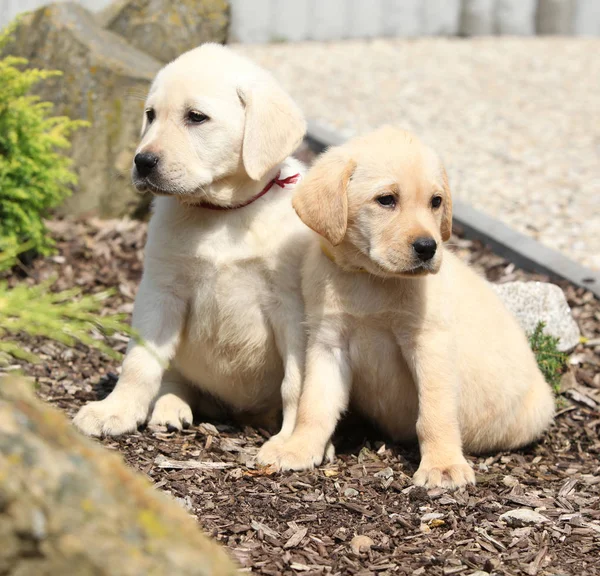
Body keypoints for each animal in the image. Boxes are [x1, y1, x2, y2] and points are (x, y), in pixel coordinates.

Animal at [71, 44, 310, 454]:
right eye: (150, 115)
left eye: (196, 117)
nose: (142, 161)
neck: (222, 212)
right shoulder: (161, 292)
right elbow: (139, 362)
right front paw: (115, 410)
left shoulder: (292, 307)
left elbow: (295, 382)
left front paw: (293, 442)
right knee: (175, 378)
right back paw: (171, 407)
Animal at [260, 125, 556, 486]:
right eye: (386, 199)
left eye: (436, 202)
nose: (428, 247)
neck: (372, 278)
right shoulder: (327, 343)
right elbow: (313, 405)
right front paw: (299, 447)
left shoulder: (429, 342)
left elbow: (434, 413)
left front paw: (442, 465)